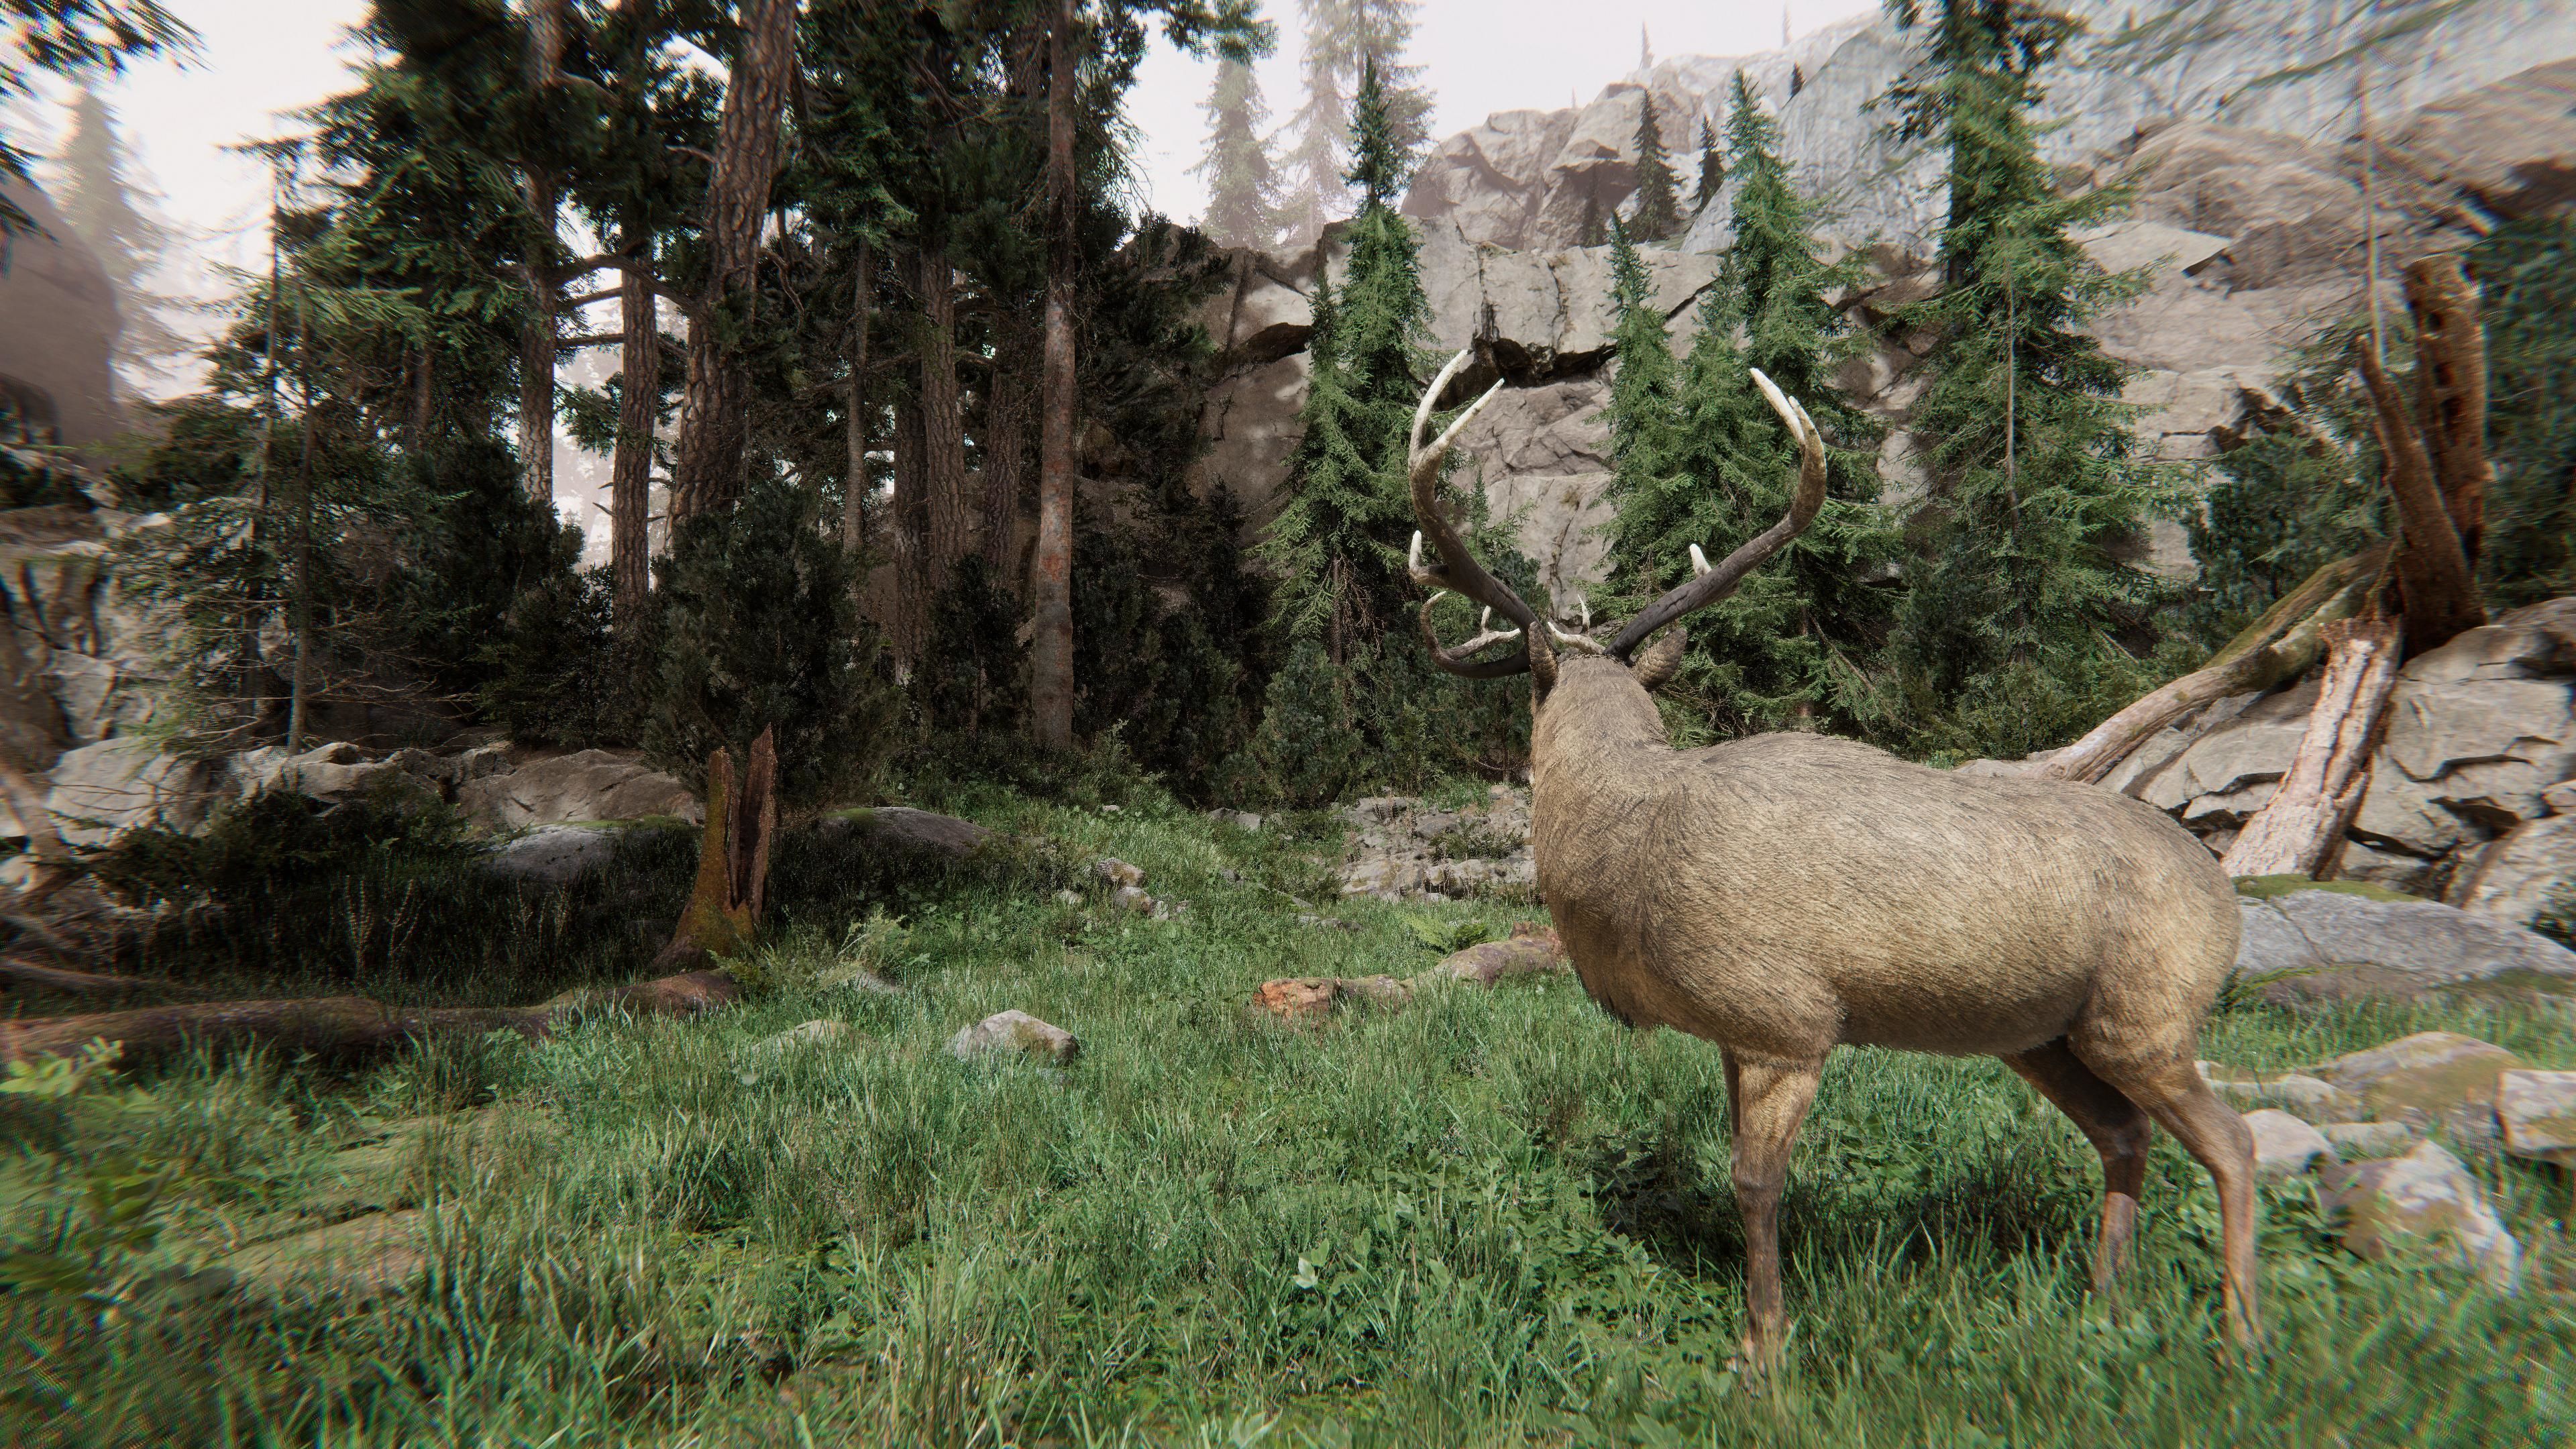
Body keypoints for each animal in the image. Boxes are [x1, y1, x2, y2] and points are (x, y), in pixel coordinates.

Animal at [1403, 349, 2258, 1367]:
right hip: (2046, 1032)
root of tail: (2229, 900)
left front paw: (1764, 1349)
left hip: (2153, 1011)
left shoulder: (1786, 1018)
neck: (1625, 852)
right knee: (2125, 1134)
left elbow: (1754, 1184)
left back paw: (2239, 1335)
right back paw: (2105, 1300)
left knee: (2234, 1140)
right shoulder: (1729, 1028)